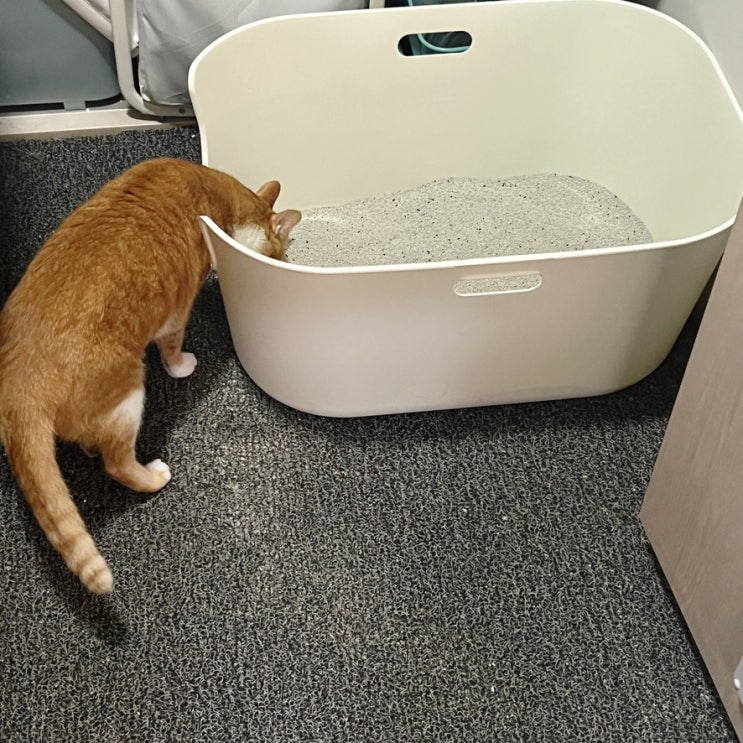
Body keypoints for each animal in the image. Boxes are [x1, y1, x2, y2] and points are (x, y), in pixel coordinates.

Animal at [0, 157, 301, 594]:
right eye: (281, 255)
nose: (283, 265)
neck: (210, 193)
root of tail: (19, 386)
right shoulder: (176, 313)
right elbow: (172, 350)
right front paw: (182, 367)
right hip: (129, 397)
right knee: (118, 464)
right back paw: (152, 476)